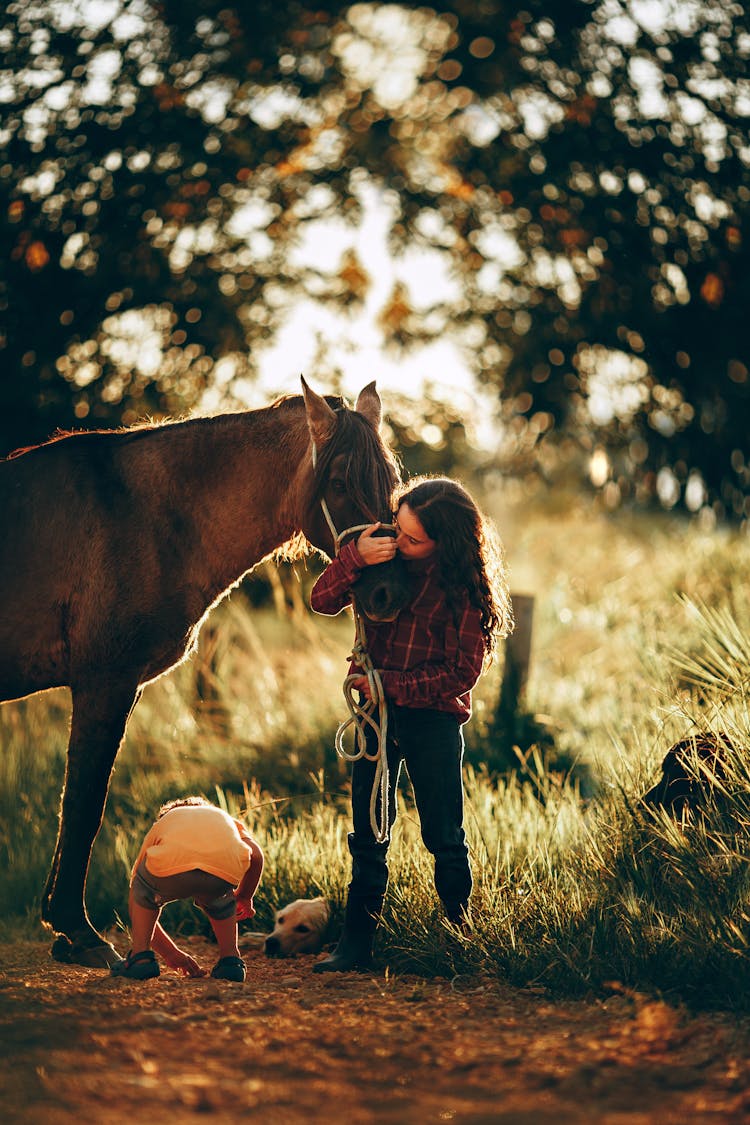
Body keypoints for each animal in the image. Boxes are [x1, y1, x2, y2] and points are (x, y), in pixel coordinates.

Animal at [1, 378, 411, 967]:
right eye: (338, 483)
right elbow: (83, 804)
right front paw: (77, 932)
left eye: (393, 484)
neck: (141, 517)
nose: (390, 593)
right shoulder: (104, 683)